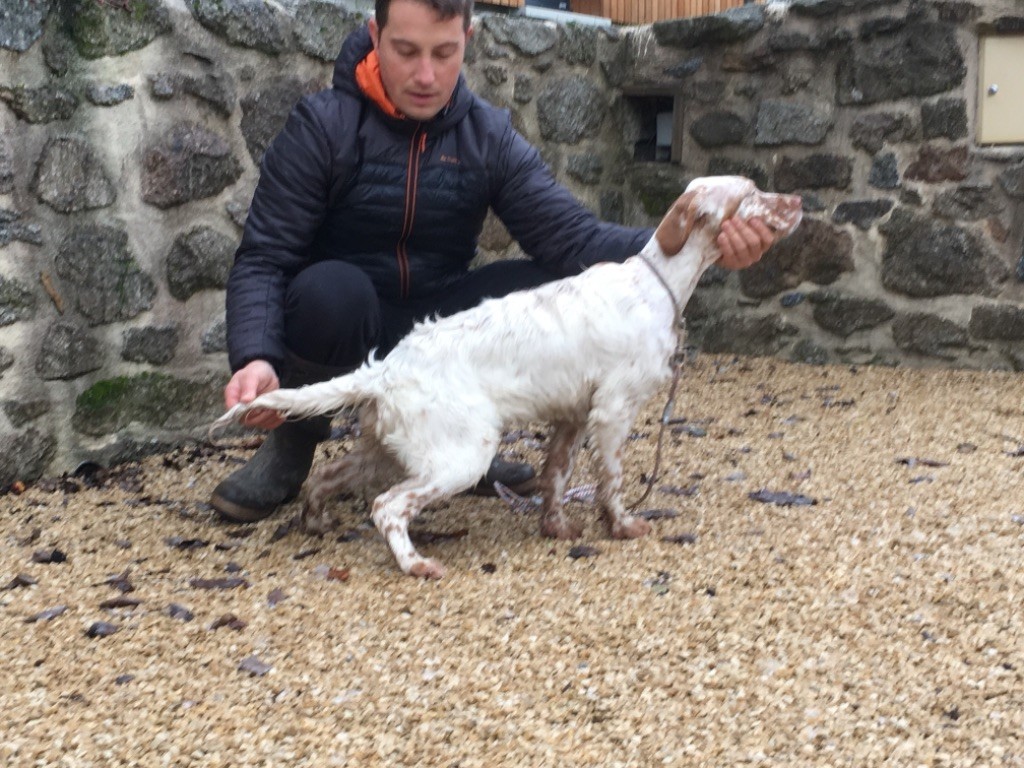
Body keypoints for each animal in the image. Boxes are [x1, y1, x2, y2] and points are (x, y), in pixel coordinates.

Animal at [209, 177, 798, 581]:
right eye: (751, 193)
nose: (796, 203)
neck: (658, 283)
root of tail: (386, 368)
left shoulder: (572, 417)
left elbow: (556, 477)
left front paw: (556, 528)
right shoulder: (613, 412)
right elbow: (610, 481)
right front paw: (623, 526)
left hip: (391, 446)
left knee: (328, 477)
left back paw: (317, 523)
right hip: (459, 454)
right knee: (387, 506)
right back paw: (415, 563)